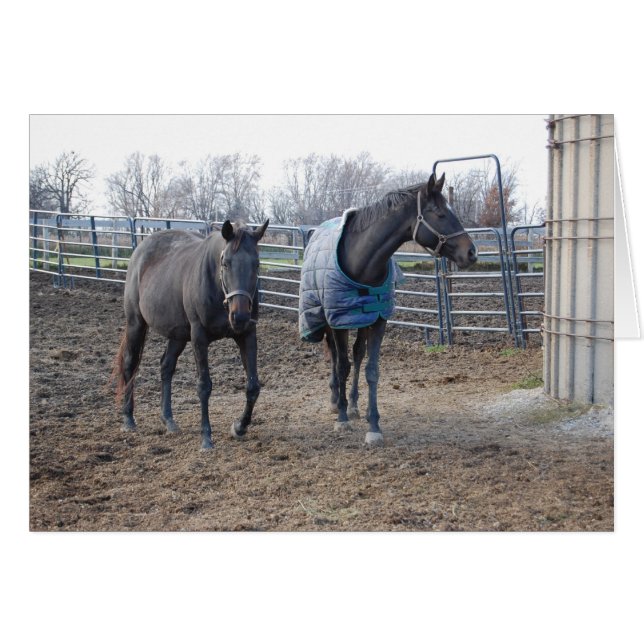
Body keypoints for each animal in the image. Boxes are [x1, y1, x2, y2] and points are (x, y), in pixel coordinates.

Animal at [113, 219, 269, 450]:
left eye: (257, 264)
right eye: (226, 263)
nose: (239, 316)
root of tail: (140, 250)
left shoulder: (247, 334)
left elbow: (253, 386)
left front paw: (239, 427)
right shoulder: (199, 337)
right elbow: (204, 386)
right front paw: (206, 437)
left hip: (177, 335)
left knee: (166, 366)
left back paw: (168, 419)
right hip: (136, 323)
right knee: (130, 364)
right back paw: (128, 419)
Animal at [298, 173, 477, 447]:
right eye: (439, 214)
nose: (471, 252)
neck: (361, 259)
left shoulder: (378, 319)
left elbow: (371, 370)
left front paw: (373, 425)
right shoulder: (338, 319)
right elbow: (341, 366)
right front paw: (342, 419)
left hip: (362, 319)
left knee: (357, 355)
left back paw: (352, 405)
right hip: (327, 319)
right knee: (337, 358)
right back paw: (336, 402)